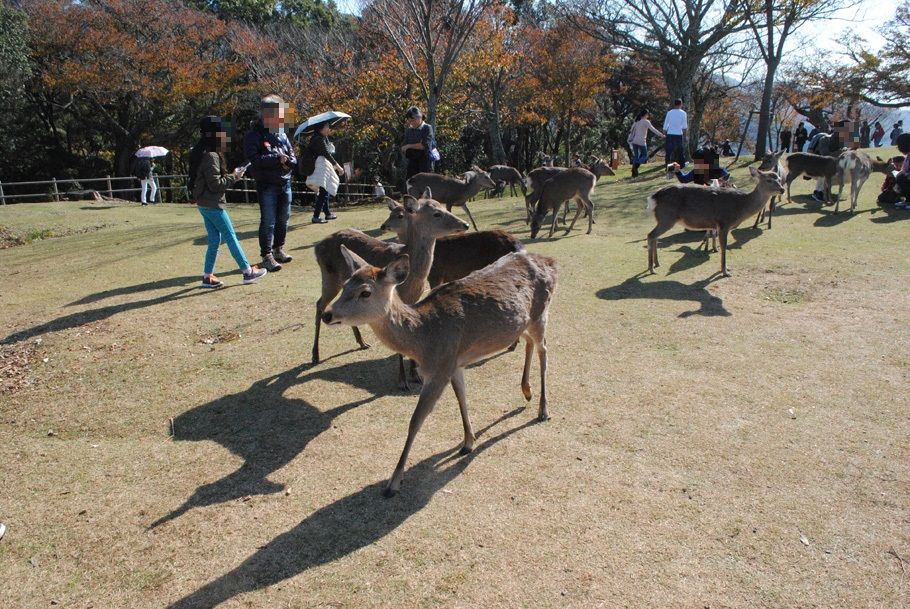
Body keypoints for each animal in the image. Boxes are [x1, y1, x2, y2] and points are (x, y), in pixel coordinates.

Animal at [314, 192, 470, 378]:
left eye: (441, 205)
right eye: (436, 213)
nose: (465, 224)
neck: (412, 282)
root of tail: (317, 246)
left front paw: (414, 373)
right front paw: (403, 378)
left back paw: (362, 342)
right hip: (328, 277)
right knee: (319, 304)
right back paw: (315, 355)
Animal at [324, 246, 560, 494]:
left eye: (365, 292)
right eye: (345, 285)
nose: (327, 314)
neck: (423, 339)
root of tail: (551, 263)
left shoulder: (439, 369)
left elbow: (416, 420)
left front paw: (393, 482)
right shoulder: (453, 363)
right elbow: (461, 397)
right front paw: (468, 442)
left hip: (541, 313)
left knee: (544, 349)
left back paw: (543, 410)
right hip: (522, 322)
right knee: (529, 342)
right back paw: (526, 391)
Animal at [644, 166, 788, 276]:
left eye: (779, 178)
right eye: (769, 180)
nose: (782, 189)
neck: (740, 207)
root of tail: (653, 197)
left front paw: (725, 268)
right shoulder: (724, 223)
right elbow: (723, 246)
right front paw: (725, 271)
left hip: (663, 219)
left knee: (654, 237)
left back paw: (657, 264)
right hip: (667, 217)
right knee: (650, 235)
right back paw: (651, 269)